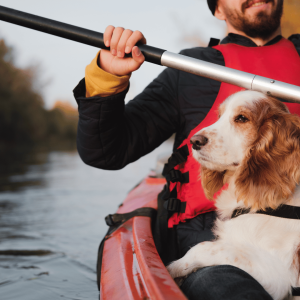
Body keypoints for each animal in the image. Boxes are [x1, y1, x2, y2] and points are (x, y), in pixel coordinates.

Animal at [166, 91, 300, 300]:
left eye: (242, 118)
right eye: (220, 116)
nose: (194, 141)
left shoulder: (280, 276)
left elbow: (205, 246)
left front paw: (173, 268)